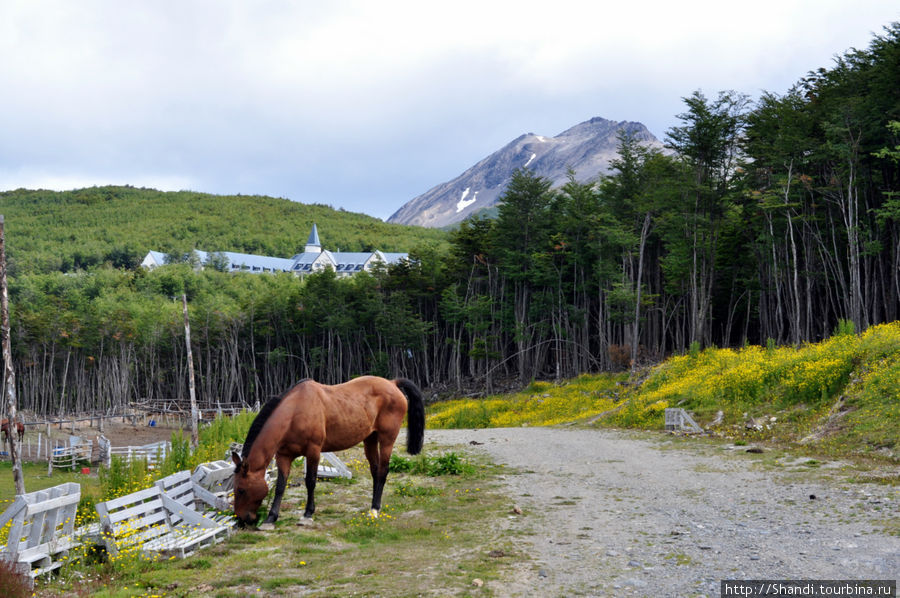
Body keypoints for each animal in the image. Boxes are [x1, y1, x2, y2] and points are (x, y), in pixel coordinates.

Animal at [234, 378, 428, 528]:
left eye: (241, 490)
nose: (242, 519)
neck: (295, 412)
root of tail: (392, 383)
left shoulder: (313, 451)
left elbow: (310, 482)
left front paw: (307, 514)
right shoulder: (284, 456)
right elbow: (280, 486)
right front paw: (271, 518)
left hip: (387, 439)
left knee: (383, 470)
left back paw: (375, 509)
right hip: (370, 439)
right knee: (375, 471)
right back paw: (372, 506)